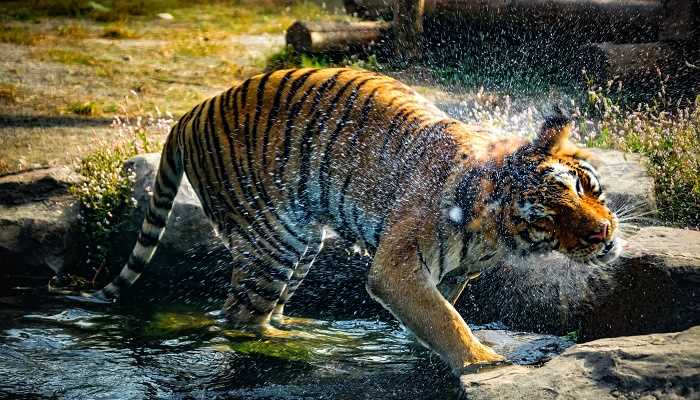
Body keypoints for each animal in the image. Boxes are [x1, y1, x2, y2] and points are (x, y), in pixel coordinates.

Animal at [85, 67, 622, 375]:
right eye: (548, 218)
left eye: (581, 187)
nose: (603, 233)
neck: (497, 236)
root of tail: (189, 113)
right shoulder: (397, 266)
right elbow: (445, 320)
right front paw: (484, 364)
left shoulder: (450, 274)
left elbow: (439, 312)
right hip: (272, 241)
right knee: (238, 318)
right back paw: (299, 345)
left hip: (301, 243)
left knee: (262, 308)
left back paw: (301, 327)